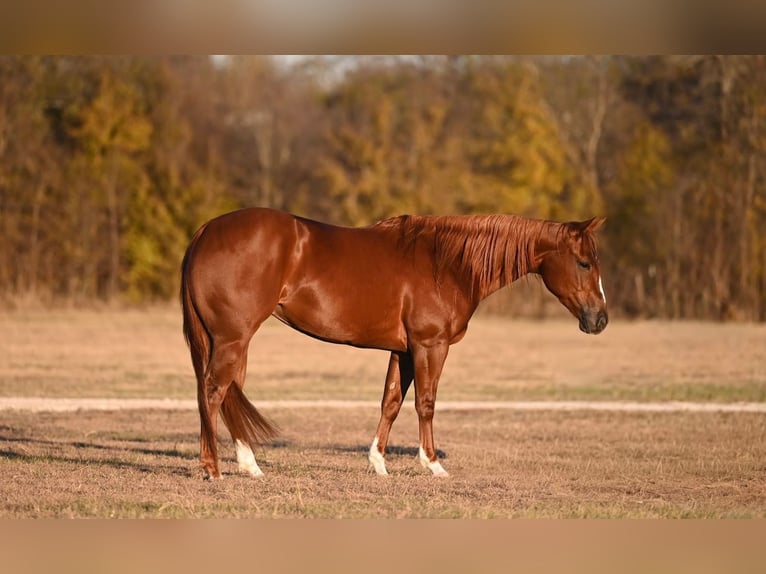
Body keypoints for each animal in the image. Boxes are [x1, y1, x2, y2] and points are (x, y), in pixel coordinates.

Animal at [180, 207, 608, 479]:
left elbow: (390, 402)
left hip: (233, 341)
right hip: (233, 338)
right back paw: (212, 468)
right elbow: (425, 403)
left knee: (227, 393)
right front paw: (433, 464)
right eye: (585, 263)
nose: (600, 319)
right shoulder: (430, 346)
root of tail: (205, 231)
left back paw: (249, 466)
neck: (447, 263)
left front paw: (378, 464)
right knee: (213, 391)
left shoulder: (402, 351)